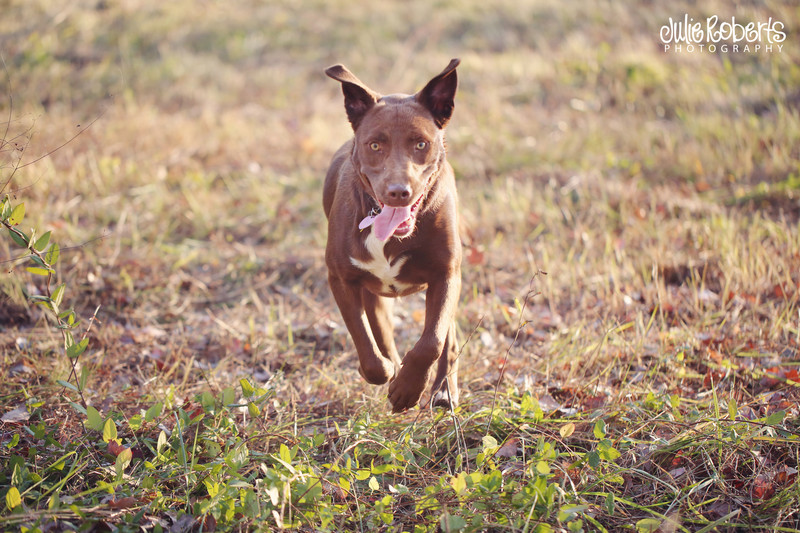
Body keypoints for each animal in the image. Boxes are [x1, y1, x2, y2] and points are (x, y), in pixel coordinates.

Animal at [324, 59, 462, 412]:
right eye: (375, 145)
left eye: (421, 143)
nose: (399, 192)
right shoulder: (341, 279)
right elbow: (364, 338)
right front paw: (388, 374)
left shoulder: (446, 274)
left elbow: (432, 340)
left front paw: (408, 389)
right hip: (372, 293)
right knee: (380, 331)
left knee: (448, 336)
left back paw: (443, 390)